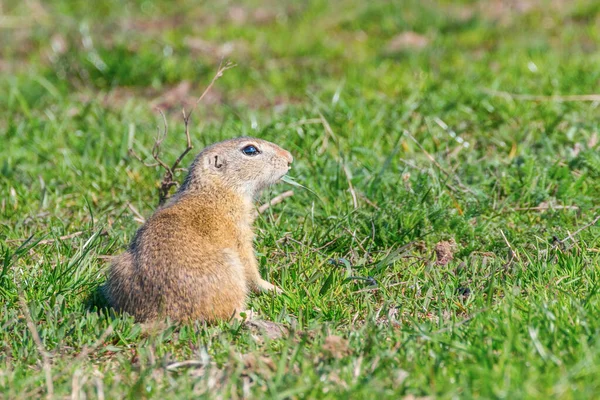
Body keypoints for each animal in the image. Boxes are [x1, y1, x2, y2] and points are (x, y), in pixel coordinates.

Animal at [105, 138, 292, 322]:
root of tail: (163, 315)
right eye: (250, 150)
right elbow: (250, 266)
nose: (289, 158)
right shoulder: (240, 233)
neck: (215, 189)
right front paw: (273, 288)